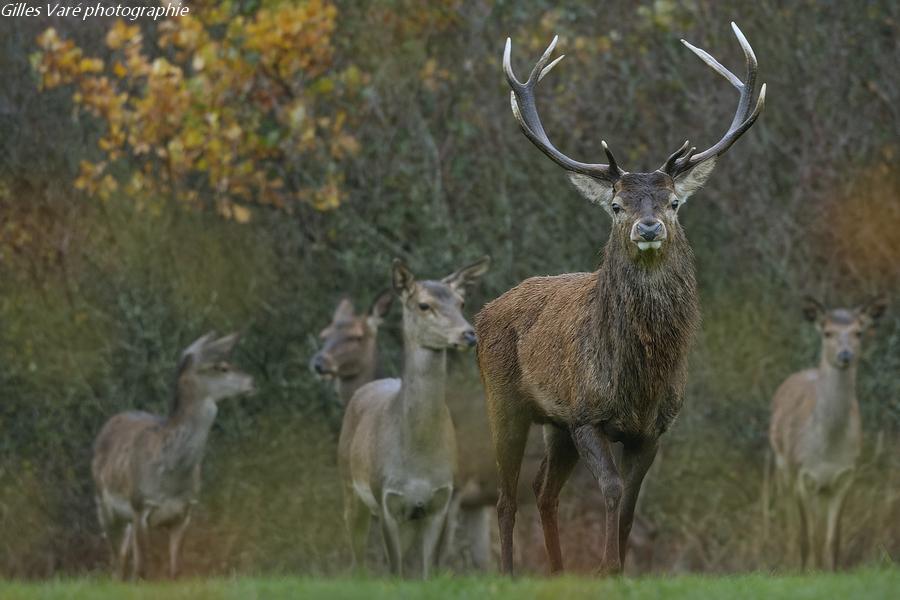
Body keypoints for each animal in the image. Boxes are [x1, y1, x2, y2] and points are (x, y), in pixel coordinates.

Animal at [92, 330, 253, 580]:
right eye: (221, 366)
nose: (251, 381)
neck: (170, 477)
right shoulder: (140, 505)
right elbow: (142, 571)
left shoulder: (185, 511)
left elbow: (176, 570)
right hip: (103, 502)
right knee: (114, 557)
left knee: (123, 554)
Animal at [340, 256, 492, 576]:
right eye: (424, 305)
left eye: (461, 302)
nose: (468, 334)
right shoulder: (386, 496)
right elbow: (395, 569)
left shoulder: (441, 499)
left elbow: (427, 570)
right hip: (349, 485)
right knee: (357, 557)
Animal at [478, 22, 768, 576]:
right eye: (616, 204)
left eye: (673, 201)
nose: (648, 226)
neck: (637, 381)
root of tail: (484, 311)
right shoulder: (586, 413)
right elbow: (611, 490)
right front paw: (608, 567)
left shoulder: (652, 429)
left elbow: (631, 504)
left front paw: (619, 569)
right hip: (504, 399)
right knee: (505, 497)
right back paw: (506, 572)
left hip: (554, 425)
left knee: (542, 489)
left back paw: (558, 571)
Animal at [768, 298, 888, 568]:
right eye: (828, 332)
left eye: (858, 332)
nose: (845, 355)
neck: (827, 450)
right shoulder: (802, 473)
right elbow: (808, 535)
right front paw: (807, 570)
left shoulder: (846, 476)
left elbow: (832, 537)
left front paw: (830, 570)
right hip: (783, 466)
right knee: (791, 519)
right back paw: (791, 561)